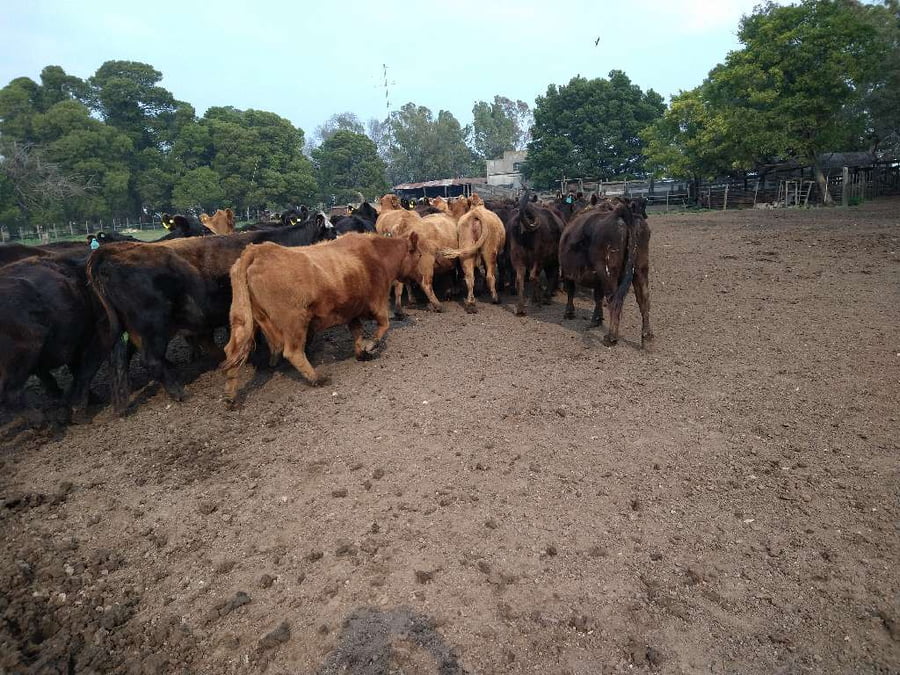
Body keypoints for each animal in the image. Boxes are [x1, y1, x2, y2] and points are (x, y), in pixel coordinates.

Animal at [87, 218, 333, 413]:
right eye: (332, 231)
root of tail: (113, 251)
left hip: (133, 330)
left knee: (123, 359)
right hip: (152, 327)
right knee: (151, 360)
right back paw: (179, 392)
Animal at [221, 231, 424, 403]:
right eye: (419, 256)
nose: (421, 277)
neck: (377, 255)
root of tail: (260, 250)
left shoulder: (351, 310)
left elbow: (357, 331)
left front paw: (361, 352)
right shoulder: (378, 302)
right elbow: (383, 325)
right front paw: (370, 346)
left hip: (244, 318)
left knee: (233, 349)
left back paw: (230, 394)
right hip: (294, 321)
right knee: (293, 352)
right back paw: (317, 378)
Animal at [558, 199, 652, 347]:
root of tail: (620, 213)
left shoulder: (568, 273)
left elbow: (571, 292)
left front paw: (569, 313)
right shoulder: (597, 279)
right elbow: (598, 297)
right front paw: (597, 319)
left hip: (609, 272)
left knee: (614, 301)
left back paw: (611, 337)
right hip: (640, 268)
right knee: (644, 299)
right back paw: (647, 336)